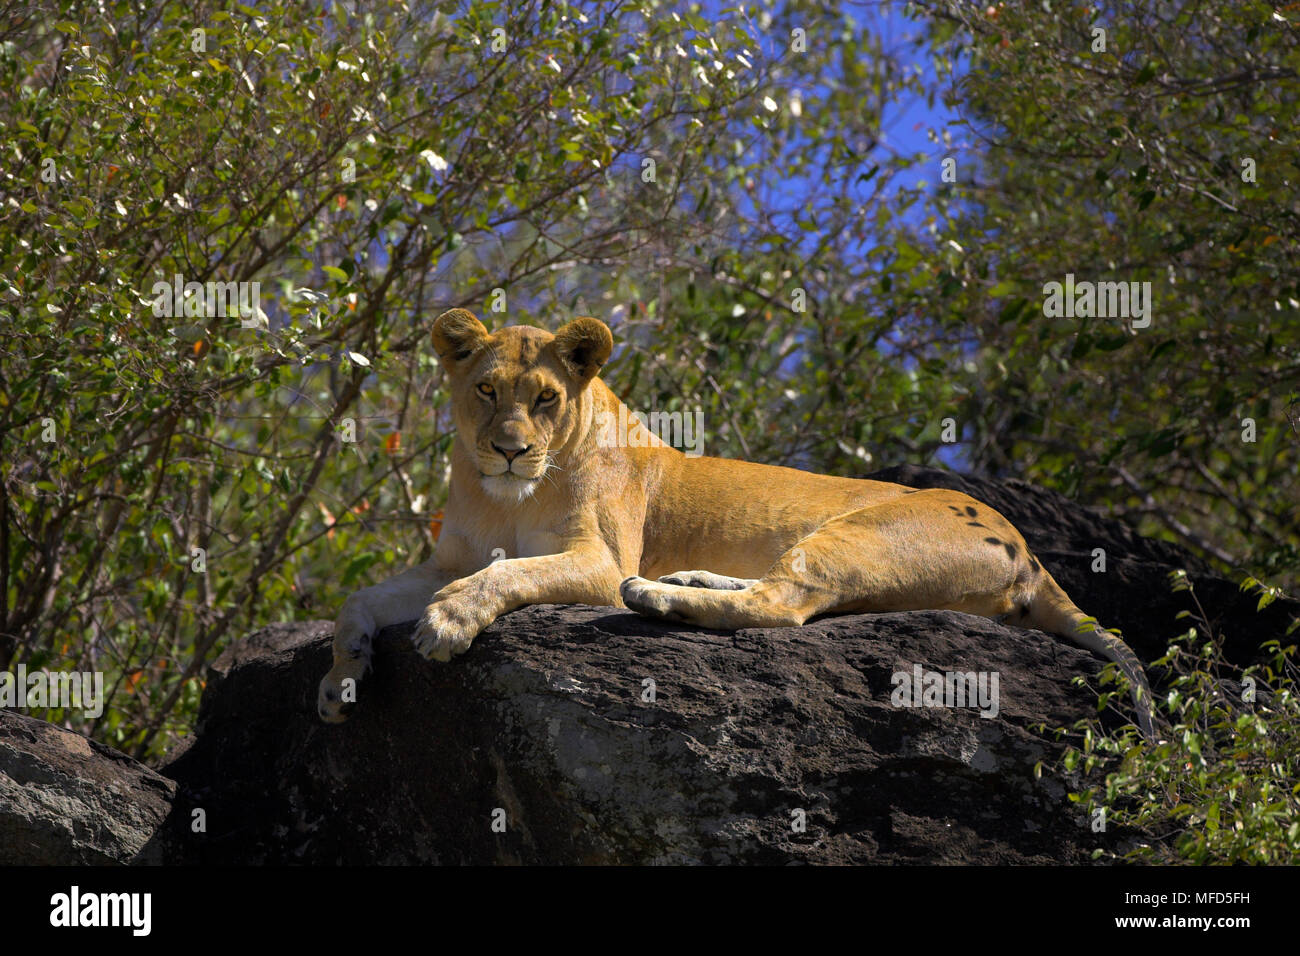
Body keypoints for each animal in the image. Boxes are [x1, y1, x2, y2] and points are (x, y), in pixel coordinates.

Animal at [318, 309, 1154, 739]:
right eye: (487, 390)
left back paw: (657, 595)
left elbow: (508, 572)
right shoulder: (444, 559)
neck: (506, 496)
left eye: (547, 398)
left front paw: (448, 623)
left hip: (856, 535)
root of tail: (1027, 548)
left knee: (786, 606)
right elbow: (357, 599)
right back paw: (684, 578)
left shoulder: (596, 558)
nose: (510, 448)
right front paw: (341, 677)